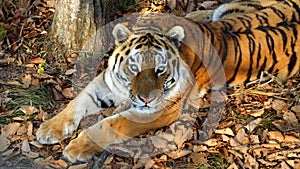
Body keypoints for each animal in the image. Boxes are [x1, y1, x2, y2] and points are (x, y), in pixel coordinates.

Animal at [35, 0, 300, 164]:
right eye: (133, 68)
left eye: (161, 70)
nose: (145, 98)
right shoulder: (108, 82)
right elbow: (78, 101)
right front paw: (50, 128)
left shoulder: (158, 110)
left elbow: (112, 124)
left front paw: (76, 148)